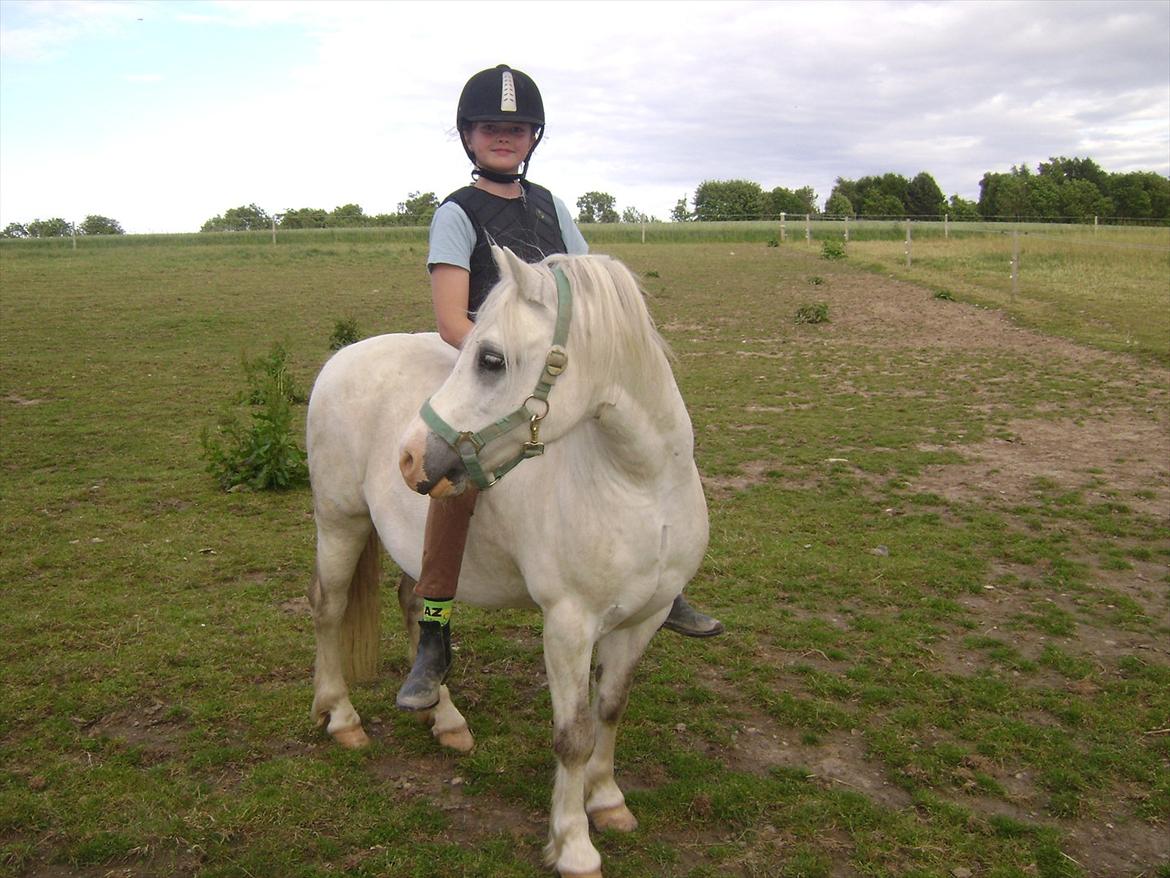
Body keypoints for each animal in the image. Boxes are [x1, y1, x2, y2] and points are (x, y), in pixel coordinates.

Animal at [306, 248, 706, 878]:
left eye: (491, 359)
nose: (409, 455)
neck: (640, 486)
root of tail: (342, 358)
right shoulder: (568, 625)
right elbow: (572, 734)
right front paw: (574, 845)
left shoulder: (646, 617)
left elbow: (610, 710)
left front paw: (607, 801)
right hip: (340, 520)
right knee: (329, 607)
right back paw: (342, 718)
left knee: (413, 603)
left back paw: (442, 716)